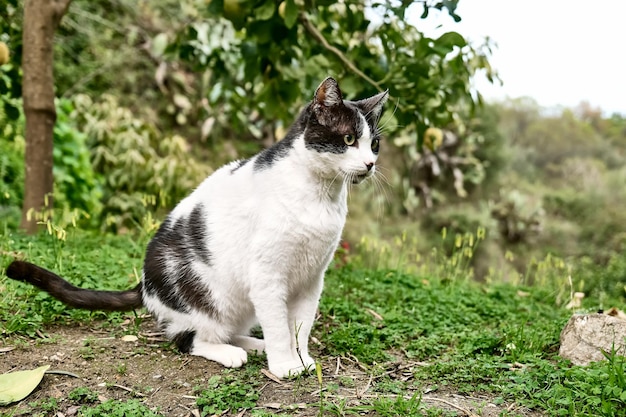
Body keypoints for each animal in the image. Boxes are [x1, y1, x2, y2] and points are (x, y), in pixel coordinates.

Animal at [6, 77, 386, 376]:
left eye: (374, 144)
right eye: (348, 139)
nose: (370, 163)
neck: (320, 194)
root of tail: (145, 284)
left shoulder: (312, 277)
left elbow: (300, 326)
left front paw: (302, 359)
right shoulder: (267, 275)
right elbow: (280, 326)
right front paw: (285, 366)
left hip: (240, 304)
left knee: (229, 329)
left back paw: (253, 343)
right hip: (207, 299)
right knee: (189, 339)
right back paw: (231, 352)